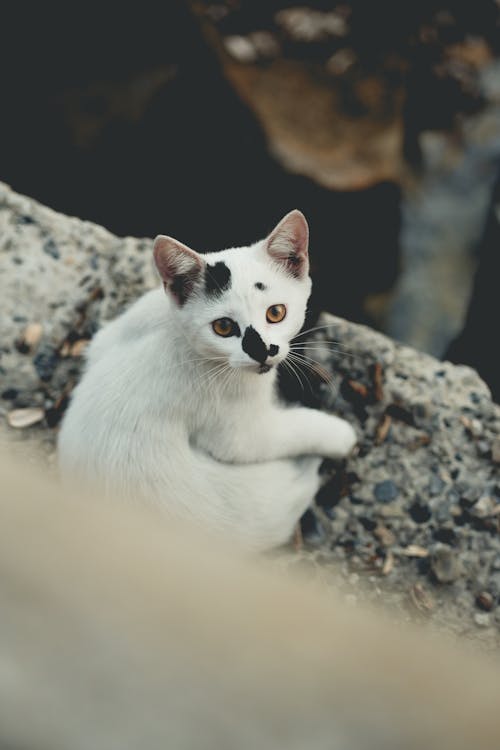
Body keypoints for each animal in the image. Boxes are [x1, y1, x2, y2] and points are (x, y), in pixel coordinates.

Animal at [57, 209, 356, 548]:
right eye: (223, 327)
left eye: (276, 313)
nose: (262, 352)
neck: (178, 336)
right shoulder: (239, 432)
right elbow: (288, 431)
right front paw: (341, 434)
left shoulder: (113, 332)